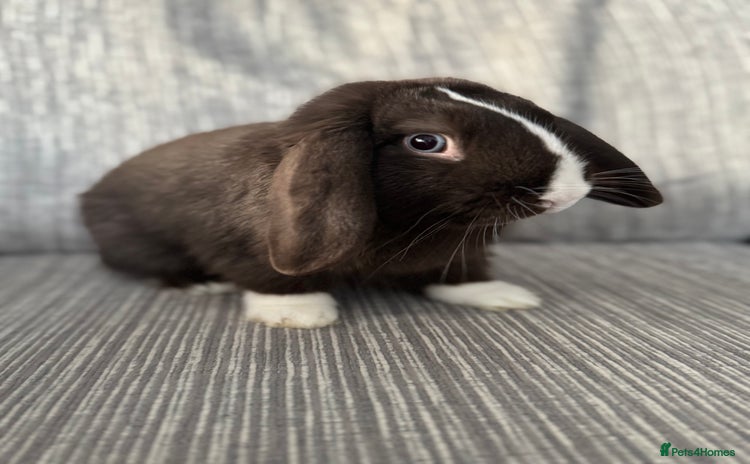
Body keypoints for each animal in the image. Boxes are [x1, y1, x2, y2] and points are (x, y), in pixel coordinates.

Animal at [80, 78, 662, 328]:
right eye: (426, 141)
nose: (567, 188)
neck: (423, 225)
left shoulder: (459, 252)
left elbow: (463, 273)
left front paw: (501, 295)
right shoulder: (244, 247)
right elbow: (272, 278)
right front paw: (298, 315)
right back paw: (200, 283)